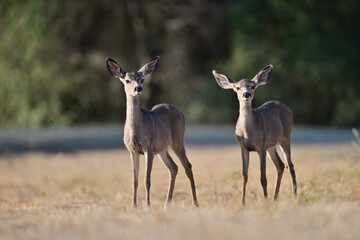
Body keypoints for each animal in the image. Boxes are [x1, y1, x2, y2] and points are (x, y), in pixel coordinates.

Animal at [104, 56, 200, 208]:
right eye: (127, 80)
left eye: (142, 79)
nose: (138, 88)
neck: (135, 130)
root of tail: (180, 112)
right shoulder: (132, 150)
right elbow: (134, 181)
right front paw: (134, 206)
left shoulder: (148, 148)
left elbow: (147, 180)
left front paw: (147, 205)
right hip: (162, 149)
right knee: (174, 167)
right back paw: (167, 203)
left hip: (177, 141)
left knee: (187, 166)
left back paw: (195, 202)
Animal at [212, 64, 296, 205]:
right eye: (237, 88)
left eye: (253, 86)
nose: (246, 94)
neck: (247, 131)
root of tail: (286, 106)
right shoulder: (243, 148)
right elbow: (244, 176)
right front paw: (242, 203)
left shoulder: (260, 147)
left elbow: (263, 178)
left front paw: (265, 200)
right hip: (271, 146)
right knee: (280, 166)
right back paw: (274, 198)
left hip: (285, 137)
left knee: (290, 165)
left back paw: (295, 196)